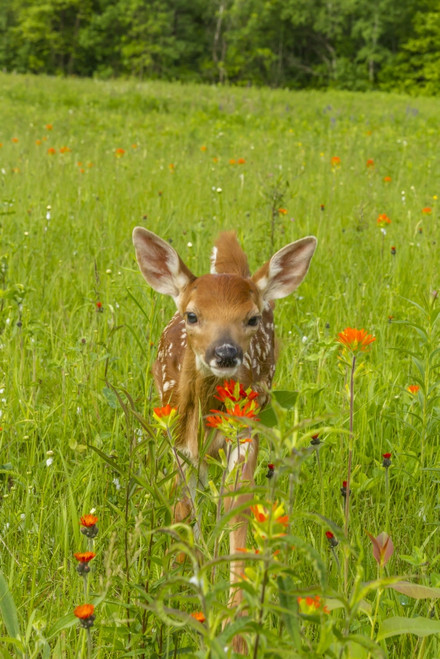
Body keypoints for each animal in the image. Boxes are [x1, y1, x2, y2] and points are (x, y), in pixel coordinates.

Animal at [132, 227, 316, 651]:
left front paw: (237, 624)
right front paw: (181, 579)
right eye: (192, 315)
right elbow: (183, 506)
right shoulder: (177, 439)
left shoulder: (246, 433)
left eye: (250, 318)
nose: (226, 352)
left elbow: (237, 505)